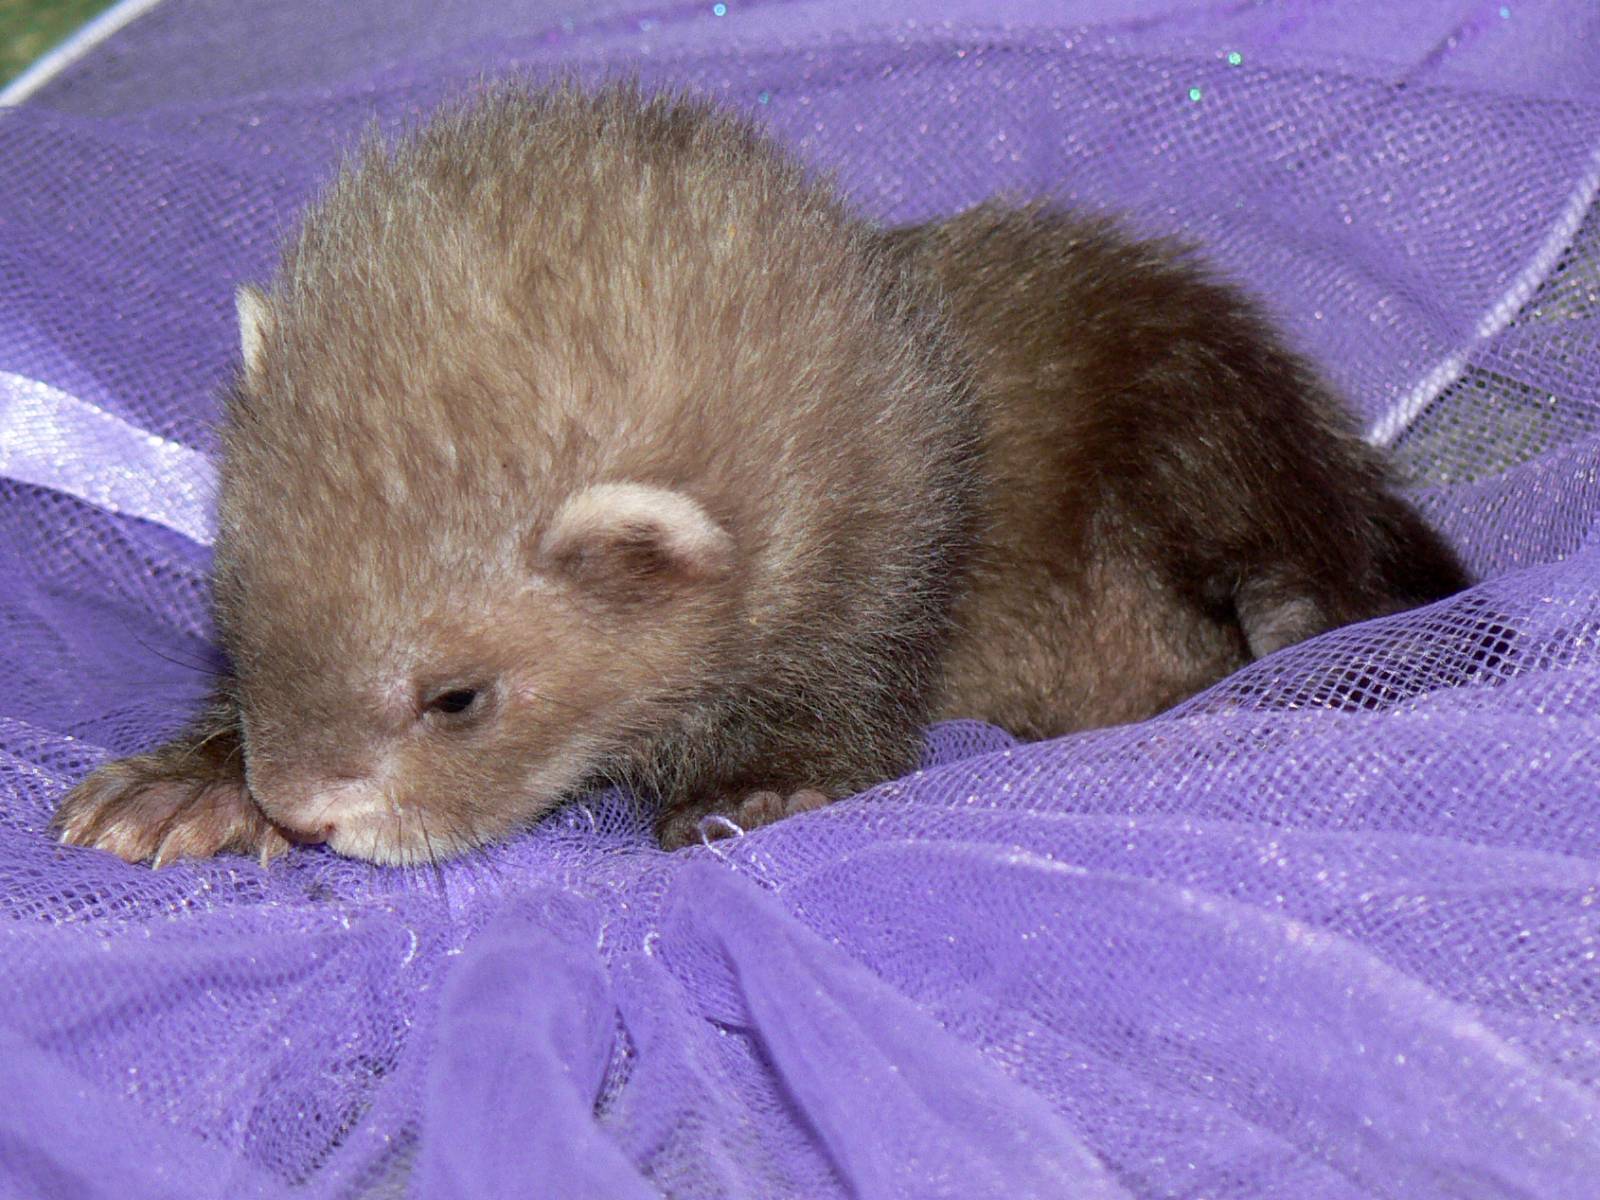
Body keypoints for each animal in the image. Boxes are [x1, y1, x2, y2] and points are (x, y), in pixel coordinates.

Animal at [55, 82, 1464, 867]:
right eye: (237, 621)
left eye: (456, 696)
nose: (299, 809)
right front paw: (183, 790)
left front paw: (761, 790)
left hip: (1207, 396)